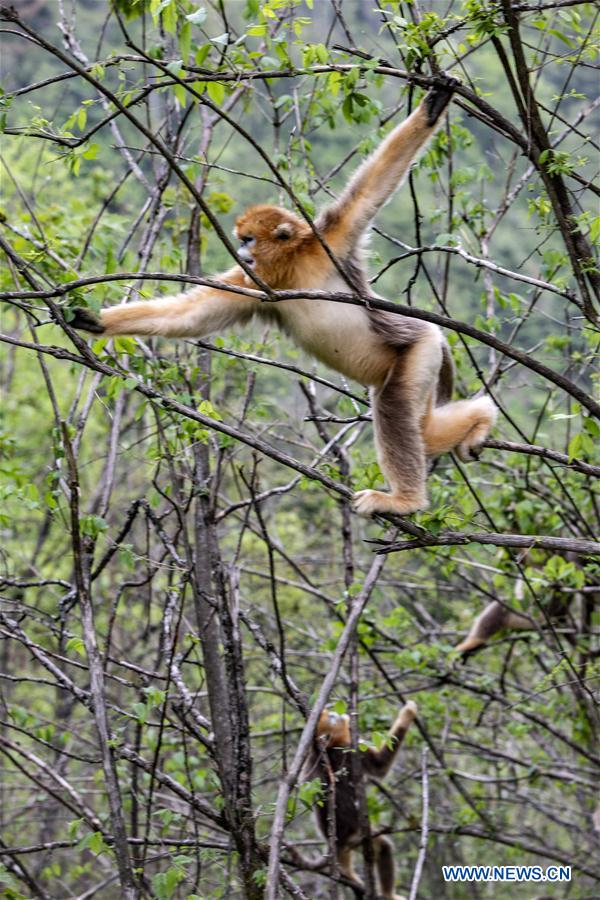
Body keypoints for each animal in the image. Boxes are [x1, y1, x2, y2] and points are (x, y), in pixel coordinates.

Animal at [71, 85, 496, 520]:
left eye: (248, 240)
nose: (242, 254)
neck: (294, 269)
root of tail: (437, 338)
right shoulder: (259, 287)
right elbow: (190, 315)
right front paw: (96, 320)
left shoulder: (330, 244)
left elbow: (371, 188)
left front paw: (431, 111)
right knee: (422, 427)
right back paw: (481, 418)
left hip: (420, 349)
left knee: (395, 405)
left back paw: (404, 500)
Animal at [300, 704, 418, 900]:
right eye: (331, 719)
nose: (335, 712)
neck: (329, 749)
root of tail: (342, 840)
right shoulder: (352, 750)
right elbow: (380, 765)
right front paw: (408, 712)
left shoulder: (312, 763)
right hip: (360, 837)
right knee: (384, 847)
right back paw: (388, 894)